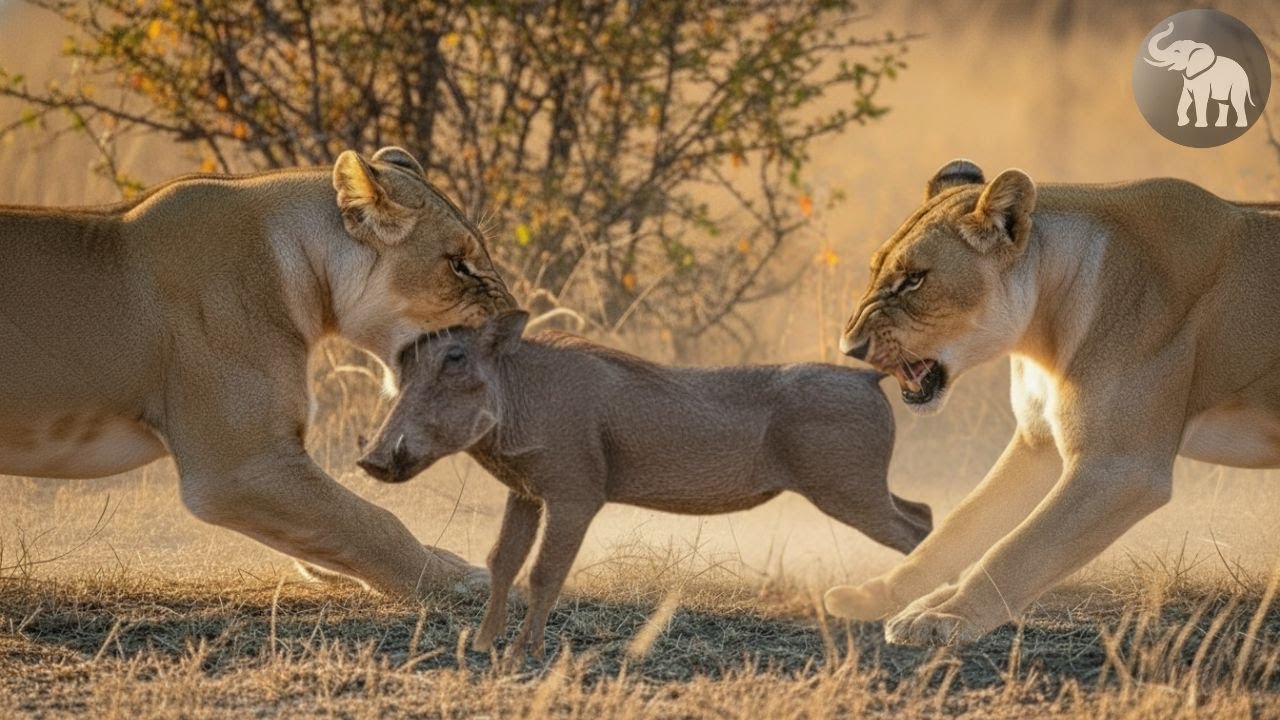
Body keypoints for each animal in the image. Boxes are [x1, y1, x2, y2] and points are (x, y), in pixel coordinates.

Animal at [0, 146, 514, 598]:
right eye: (459, 264)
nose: (515, 320)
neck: (300, 269)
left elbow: (330, 528)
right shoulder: (238, 465)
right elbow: (369, 521)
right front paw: (460, 581)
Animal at [823, 159, 1280, 646]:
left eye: (914, 279)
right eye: (876, 270)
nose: (850, 346)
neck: (1040, 338)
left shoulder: (1123, 469)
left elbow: (1017, 550)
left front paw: (944, 616)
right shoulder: (1035, 444)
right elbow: (959, 526)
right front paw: (881, 596)